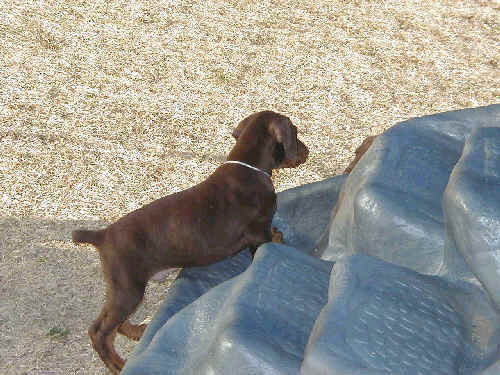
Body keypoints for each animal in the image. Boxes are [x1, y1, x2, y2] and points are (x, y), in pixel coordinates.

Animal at [72, 110, 308, 374]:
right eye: (295, 131)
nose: (307, 151)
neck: (250, 167)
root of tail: (102, 234)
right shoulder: (258, 234)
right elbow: (269, 244)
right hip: (128, 286)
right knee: (100, 331)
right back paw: (118, 364)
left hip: (121, 287)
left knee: (115, 322)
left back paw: (136, 331)